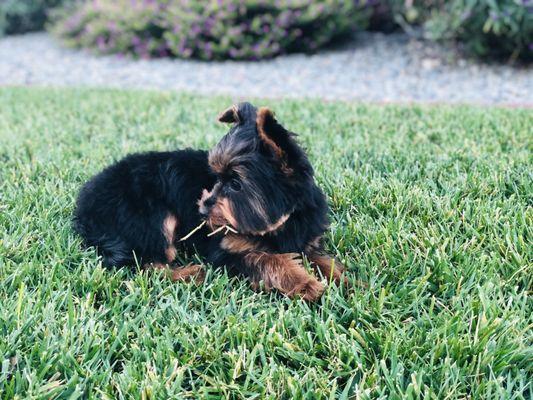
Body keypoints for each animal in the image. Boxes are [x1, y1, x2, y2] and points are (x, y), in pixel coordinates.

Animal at [72, 102, 342, 300]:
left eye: (235, 184)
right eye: (216, 177)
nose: (201, 209)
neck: (279, 223)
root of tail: (84, 206)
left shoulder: (306, 239)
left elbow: (322, 260)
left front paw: (343, 281)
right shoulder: (228, 249)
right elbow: (266, 260)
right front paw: (305, 284)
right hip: (147, 216)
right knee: (143, 265)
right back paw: (191, 273)